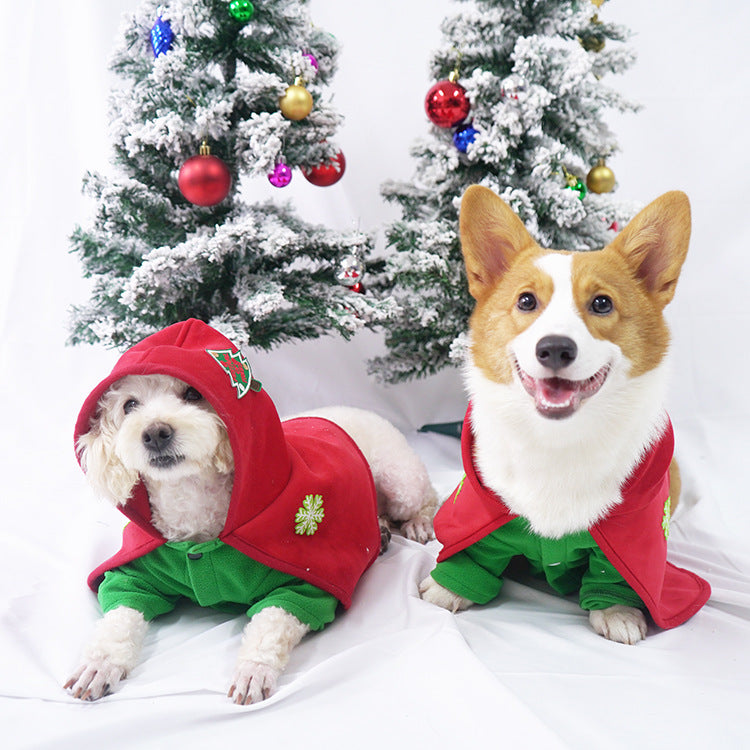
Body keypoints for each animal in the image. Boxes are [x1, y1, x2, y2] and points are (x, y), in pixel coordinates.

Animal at [67, 374, 438, 704]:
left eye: (192, 394)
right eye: (129, 405)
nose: (156, 432)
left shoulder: (303, 584)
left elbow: (271, 623)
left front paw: (254, 670)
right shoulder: (136, 574)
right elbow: (118, 618)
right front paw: (99, 664)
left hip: (400, 477)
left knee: (426, 497)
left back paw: (417, 523)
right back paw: (381, 530)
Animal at [420, 185, 708, 644]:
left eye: (602, 303)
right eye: (526, 300)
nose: (555, 348)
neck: (556, 440)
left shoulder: (632, 529)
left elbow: (615, 573)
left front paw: (617, 611)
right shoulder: (484, 509)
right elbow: (472, 552)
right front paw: (446, 590)